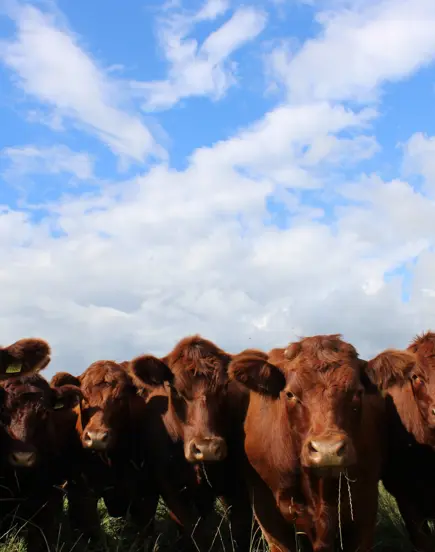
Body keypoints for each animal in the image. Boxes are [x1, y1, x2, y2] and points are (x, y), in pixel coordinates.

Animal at [129, 335, 255, 552]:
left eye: (225, 388)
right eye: (174, 390)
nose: (207, 448)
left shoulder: (238, 487)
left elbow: (240, 534)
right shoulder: (173, 492)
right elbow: (195, 535)